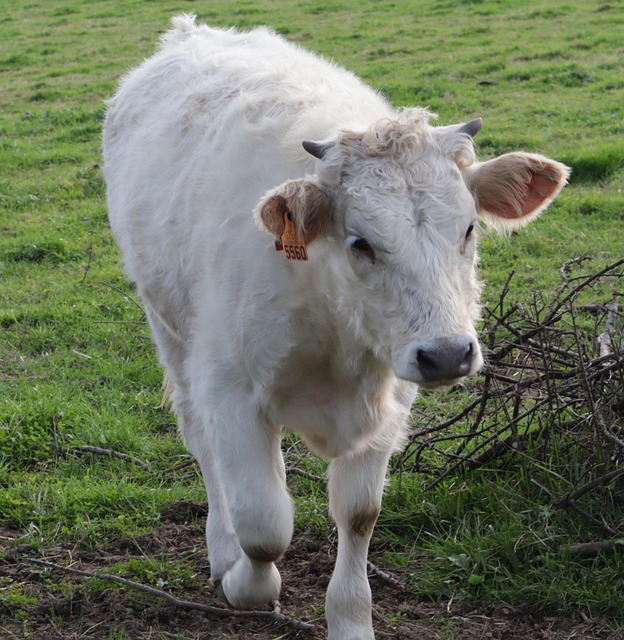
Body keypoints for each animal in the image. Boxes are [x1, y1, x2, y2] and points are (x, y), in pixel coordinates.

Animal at [103, 14, 569, 639]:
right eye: (361, 242)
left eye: (469, 228)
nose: (448, 354)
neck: (337, 332)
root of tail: (189, 32)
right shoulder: (229, 387)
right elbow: (264, 523)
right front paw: (246, 584)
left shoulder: (391, 395)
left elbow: (358, 512)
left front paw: (350, 620)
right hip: (169, 329)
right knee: (203, 445)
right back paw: (221, 551)